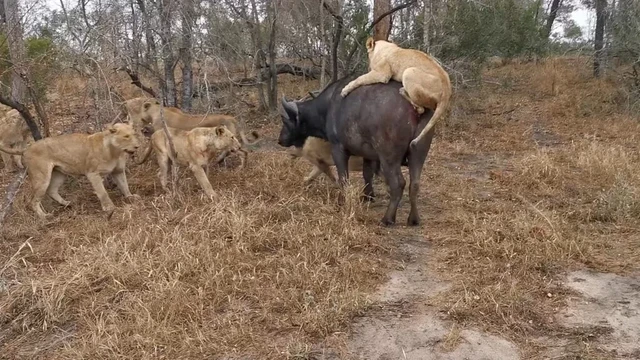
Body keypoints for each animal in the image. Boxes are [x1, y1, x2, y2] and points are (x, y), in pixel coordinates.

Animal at [278, 77, 438, 226]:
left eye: (285, 120)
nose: (280, 140)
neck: (328, 105)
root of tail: (416, 108)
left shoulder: (338, 148)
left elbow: (343, 179)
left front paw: (342, 201)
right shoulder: (369, 155)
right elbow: (367, 174)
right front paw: (367, 196)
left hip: (389, 157)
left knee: (398, 183)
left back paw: (387, 218)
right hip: (418, 154)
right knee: (414, 184)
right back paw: (414, 219)